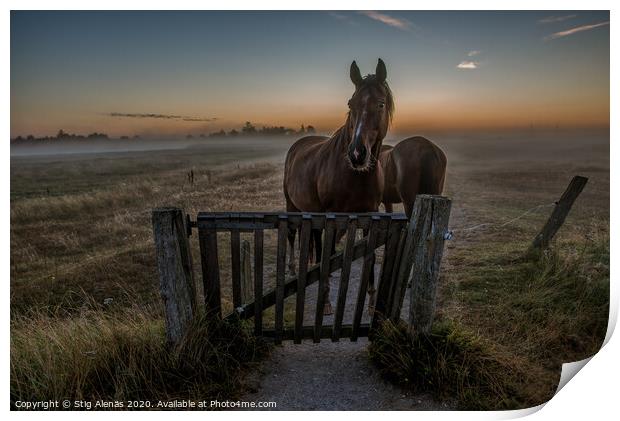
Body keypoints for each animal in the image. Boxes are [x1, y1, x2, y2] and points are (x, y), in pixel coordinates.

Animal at [282, 60, 392, 316]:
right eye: (351, 103)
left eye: (381, 104)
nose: (357, 153)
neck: (354, 176)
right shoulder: (332, 216)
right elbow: (328, 253)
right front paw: (326, 303)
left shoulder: (369, 214)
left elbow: (370, 256)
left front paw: (371, 303)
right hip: (292, 204)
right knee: (292, 234)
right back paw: (292, 268)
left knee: (312, 236)